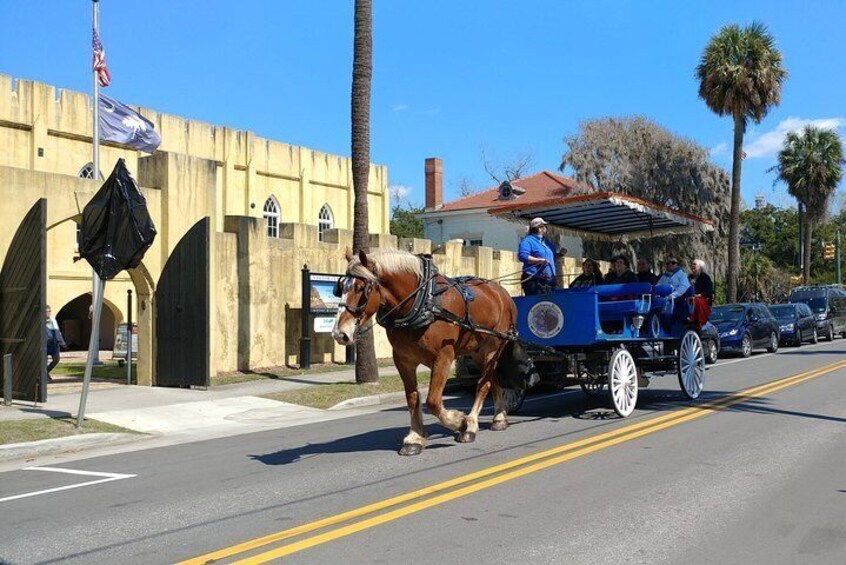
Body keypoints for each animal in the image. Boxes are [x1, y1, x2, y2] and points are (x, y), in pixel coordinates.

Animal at [334, 249, 520, 456]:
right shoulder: (403, 360)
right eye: (339, 287)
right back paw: (499, 416)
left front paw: (459, 422)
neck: (423, 302)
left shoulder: (443, 357)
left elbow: (432, 400)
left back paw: (471, 424)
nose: (340, 334)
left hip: (493, 348)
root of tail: (502, 293)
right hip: (477, 353)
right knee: (491, 379)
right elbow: (413, 398)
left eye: (360, 288)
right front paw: (415, 437)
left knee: (483, 384)